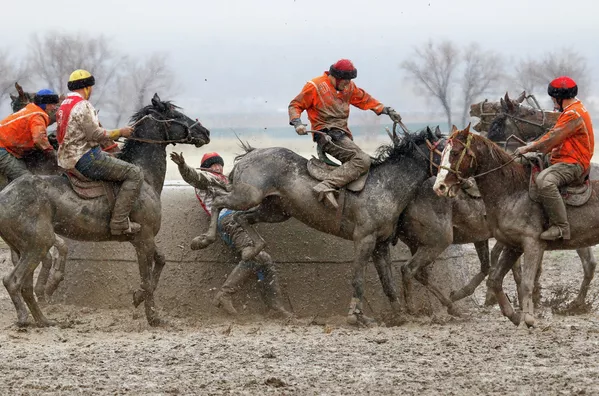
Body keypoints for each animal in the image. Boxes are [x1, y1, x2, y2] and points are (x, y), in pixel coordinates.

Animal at [0, 94, 211, 326]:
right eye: (175, 114)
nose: (206, 133)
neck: (145, 176)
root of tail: (4, 195)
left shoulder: (144, 239)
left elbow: (161, 261)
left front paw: (138, 297)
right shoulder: (144, 238)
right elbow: (147, 278)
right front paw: (153, 316)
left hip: (23, 247)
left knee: (25, 285)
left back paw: (43, 320)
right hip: (38, 244)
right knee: (13, 280)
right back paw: (25, 318)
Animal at [432, 124, 599, 328]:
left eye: (455, 152)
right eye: (442, 153)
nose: (439, 187)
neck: (512, 191)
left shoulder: (533, 244)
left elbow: (526, 282)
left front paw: (528, 318)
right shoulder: (513, 246)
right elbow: (496, 280)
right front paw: (514, 315)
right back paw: (575, 305)